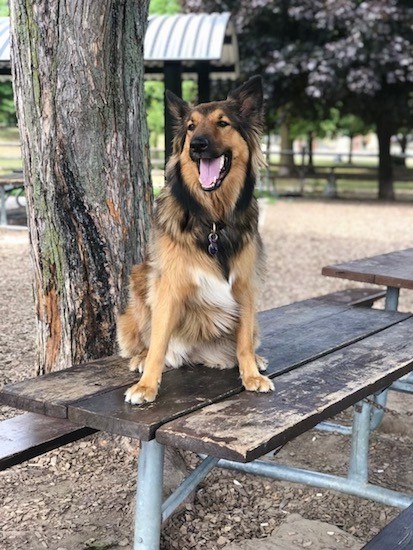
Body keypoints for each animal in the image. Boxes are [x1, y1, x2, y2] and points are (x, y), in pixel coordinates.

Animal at [115, 75, 274, 406]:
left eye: (223, 123)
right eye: (190, 127)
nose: (197, 145)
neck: (212, 218)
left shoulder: (246, 284)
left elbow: (243, 339)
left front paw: (251, 374)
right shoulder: (168, 285)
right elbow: (158, 341)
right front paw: (147, 386)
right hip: (137, 284)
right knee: (146, 340)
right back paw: (140, 358)